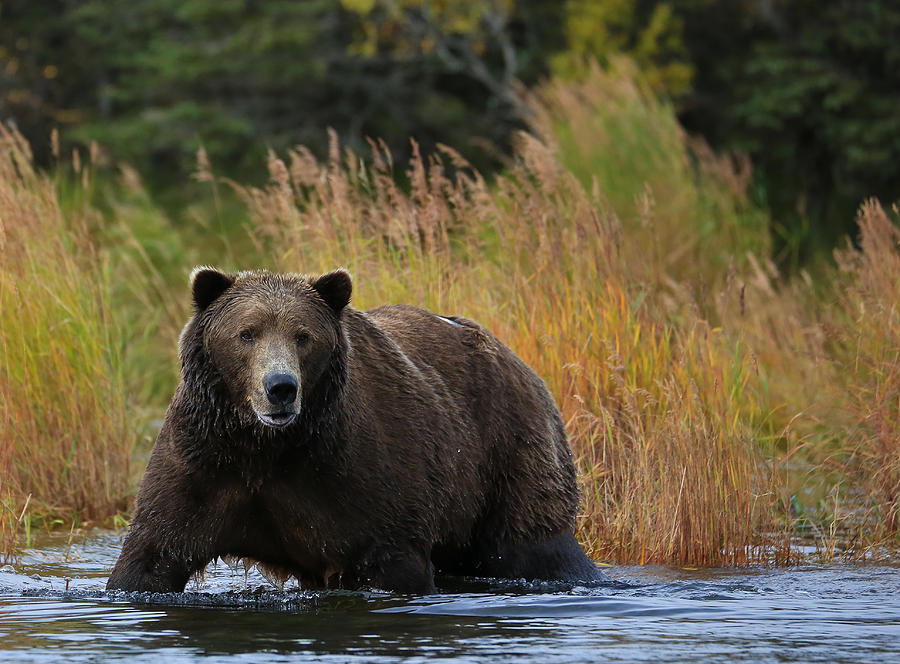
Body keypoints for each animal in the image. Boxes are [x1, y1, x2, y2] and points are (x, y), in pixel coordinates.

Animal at [109, 268, 604, 592]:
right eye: (246, 333)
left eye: (303, 335)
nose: (280, 388)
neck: (267, 446)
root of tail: (521, 363)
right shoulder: (204, 458)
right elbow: (151, 554)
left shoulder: (356, 475)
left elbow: (390, 561)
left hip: (507, 454)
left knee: (537, 546)